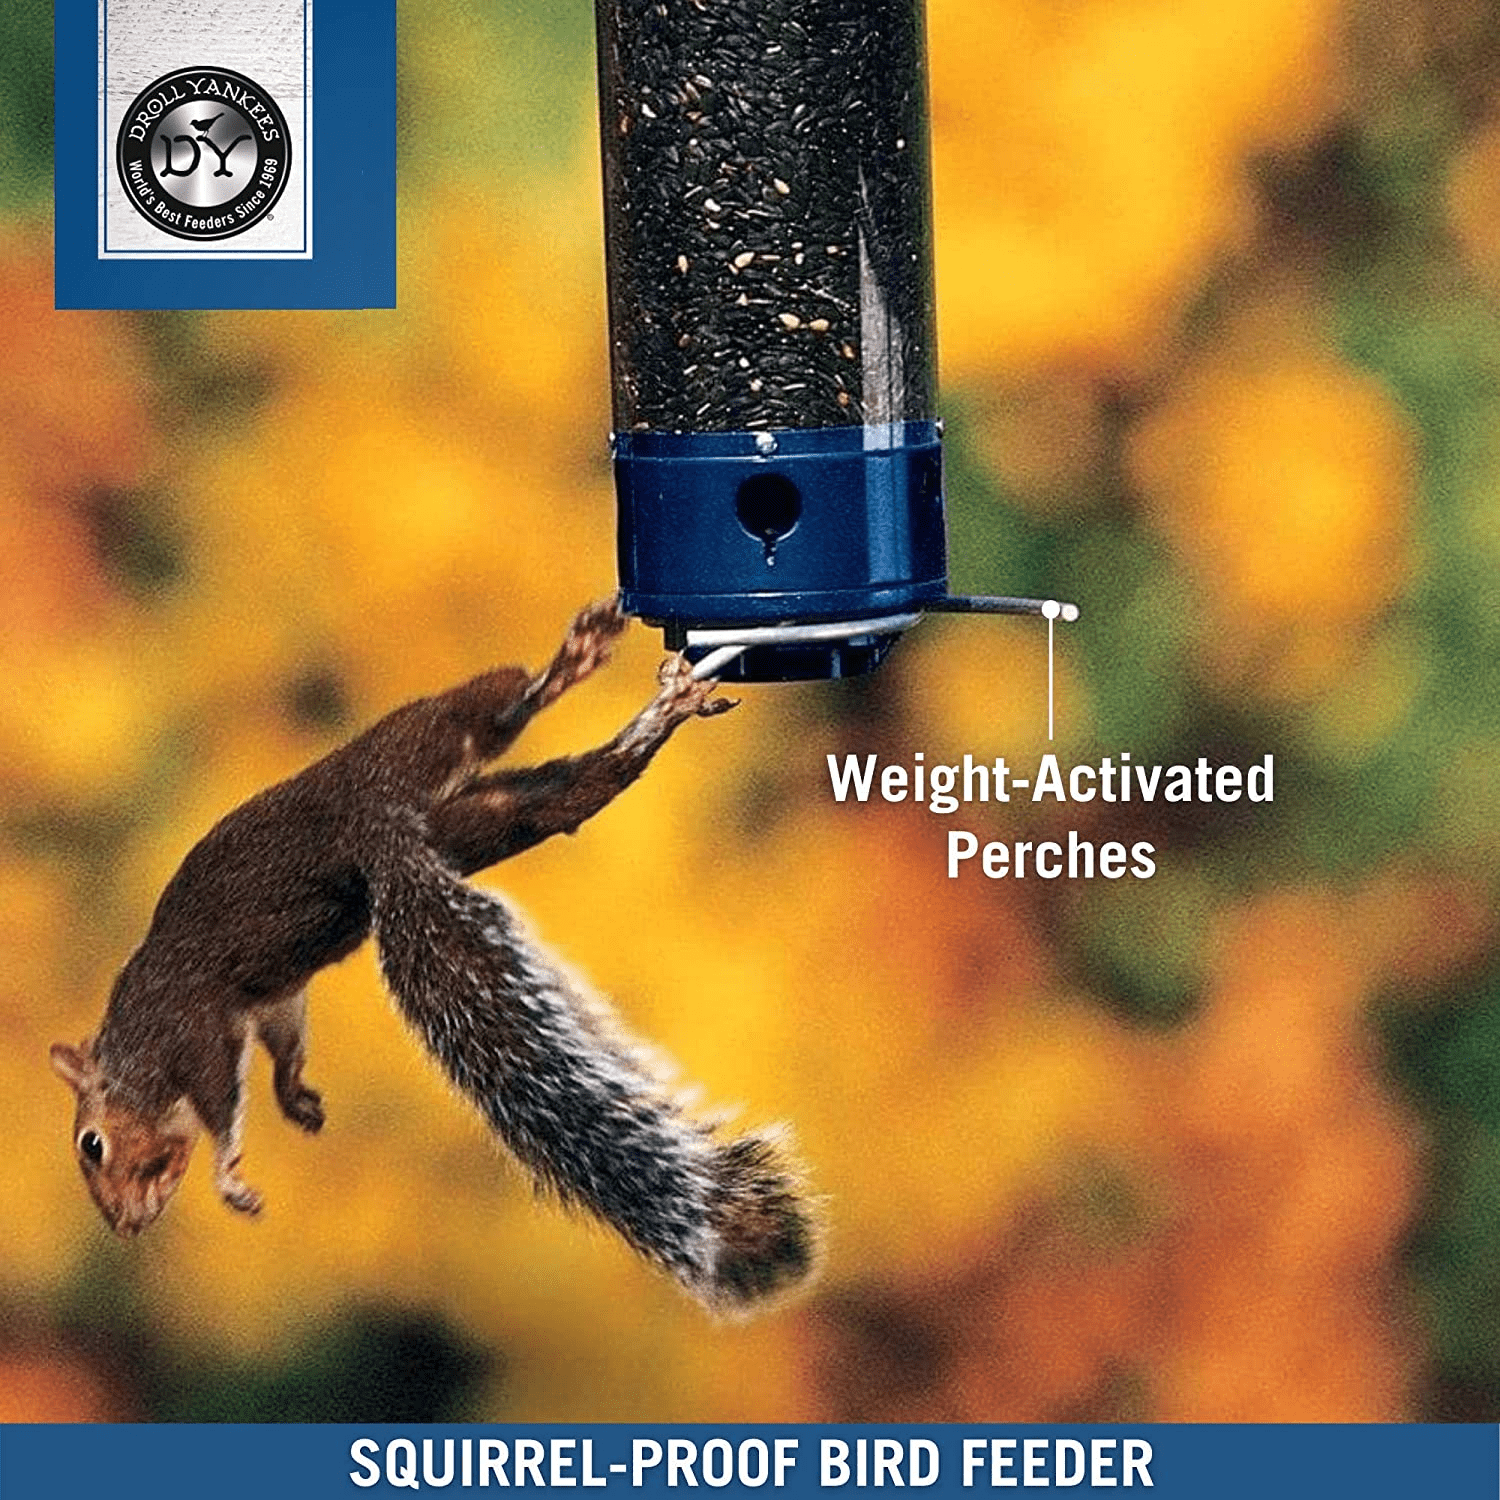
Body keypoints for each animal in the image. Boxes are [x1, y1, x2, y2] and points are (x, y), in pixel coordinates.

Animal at [50, 597, 817, 1311]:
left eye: (92, 1145)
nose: (125, 1225)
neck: (133, 1051)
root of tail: (379, 823)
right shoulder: (271, 1000)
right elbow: (286, 1040)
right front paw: (295, 1098)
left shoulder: (191, 1027)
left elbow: (222, 1102)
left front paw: (229, 1174)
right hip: (479, 818)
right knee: (573, 788)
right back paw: (649, 724)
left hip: (420, 739)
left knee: (503, 707)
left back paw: (576, 661)